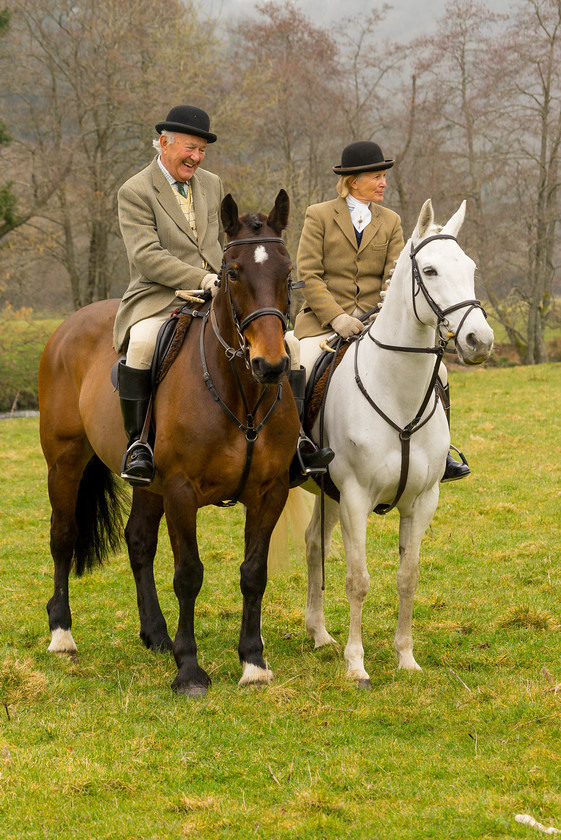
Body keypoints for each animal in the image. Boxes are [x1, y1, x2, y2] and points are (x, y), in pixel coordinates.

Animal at [37, 189, 300, 696]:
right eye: (231, 273)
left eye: (287, 270)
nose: (271, 365)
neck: (241, 392)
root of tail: (68, 325)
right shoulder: (181, 491)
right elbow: (189, 575)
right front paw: (190, 670)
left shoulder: (271, 492)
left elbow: (253, 573)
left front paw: (253, 661)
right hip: (65, 461)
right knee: (63, 536)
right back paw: (62, 634)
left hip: (147, 483)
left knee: (138, 541)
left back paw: (156, 634)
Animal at [300, 200, 492, 684]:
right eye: (430, 270)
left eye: (470, 267)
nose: (479, 341)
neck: (397, 391)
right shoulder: (354, 499)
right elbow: (358, 580)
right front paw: (357, 665)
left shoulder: (422, 501)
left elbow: (408, 577)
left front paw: (406, 657)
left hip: (327, 496)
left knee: (314, 544)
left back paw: (319, 635)